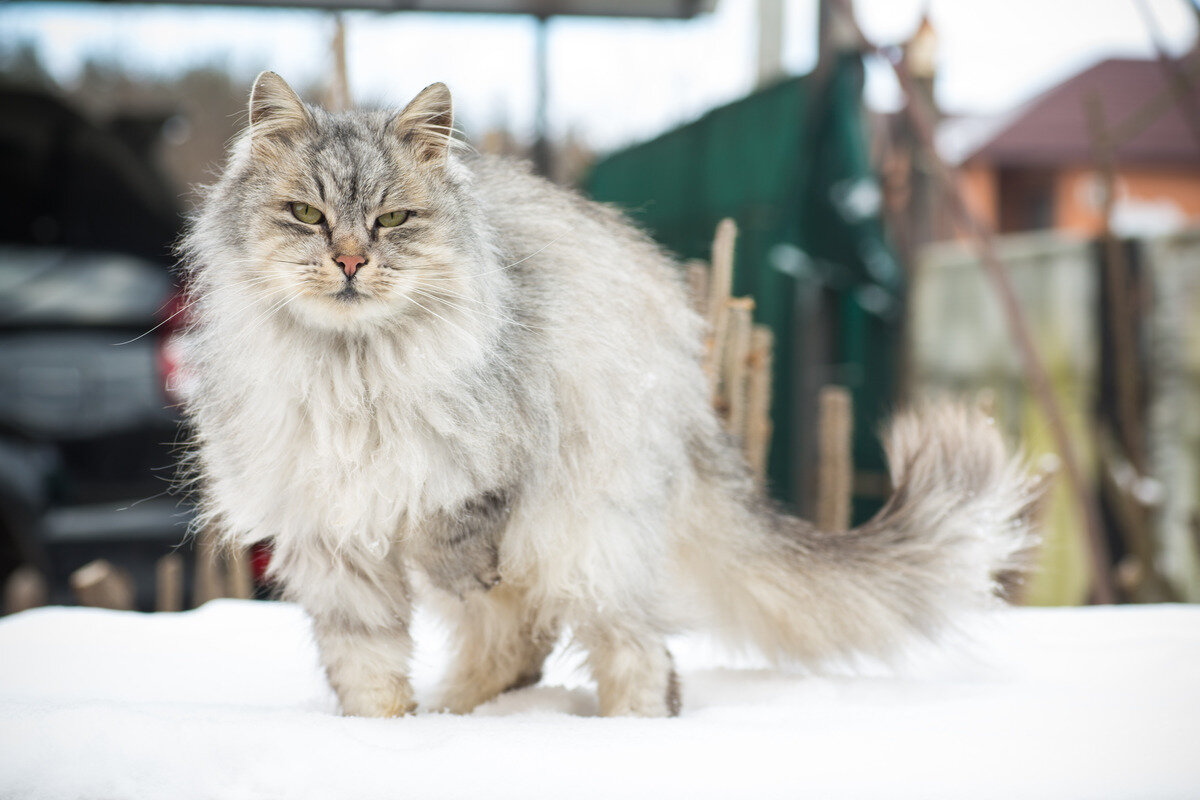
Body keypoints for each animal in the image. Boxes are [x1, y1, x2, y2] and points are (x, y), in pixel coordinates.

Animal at [180, 70, 1041, 719]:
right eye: (306, 214)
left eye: (393, 220)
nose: (353, 262)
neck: (355, 372)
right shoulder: (332, 535)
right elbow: (368, 670)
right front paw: (386, 741)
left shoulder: (482, 474)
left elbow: (451, 541)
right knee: (525, 647)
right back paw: (460, 715)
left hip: (584, 529)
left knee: (637, 656)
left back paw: (617, 734)